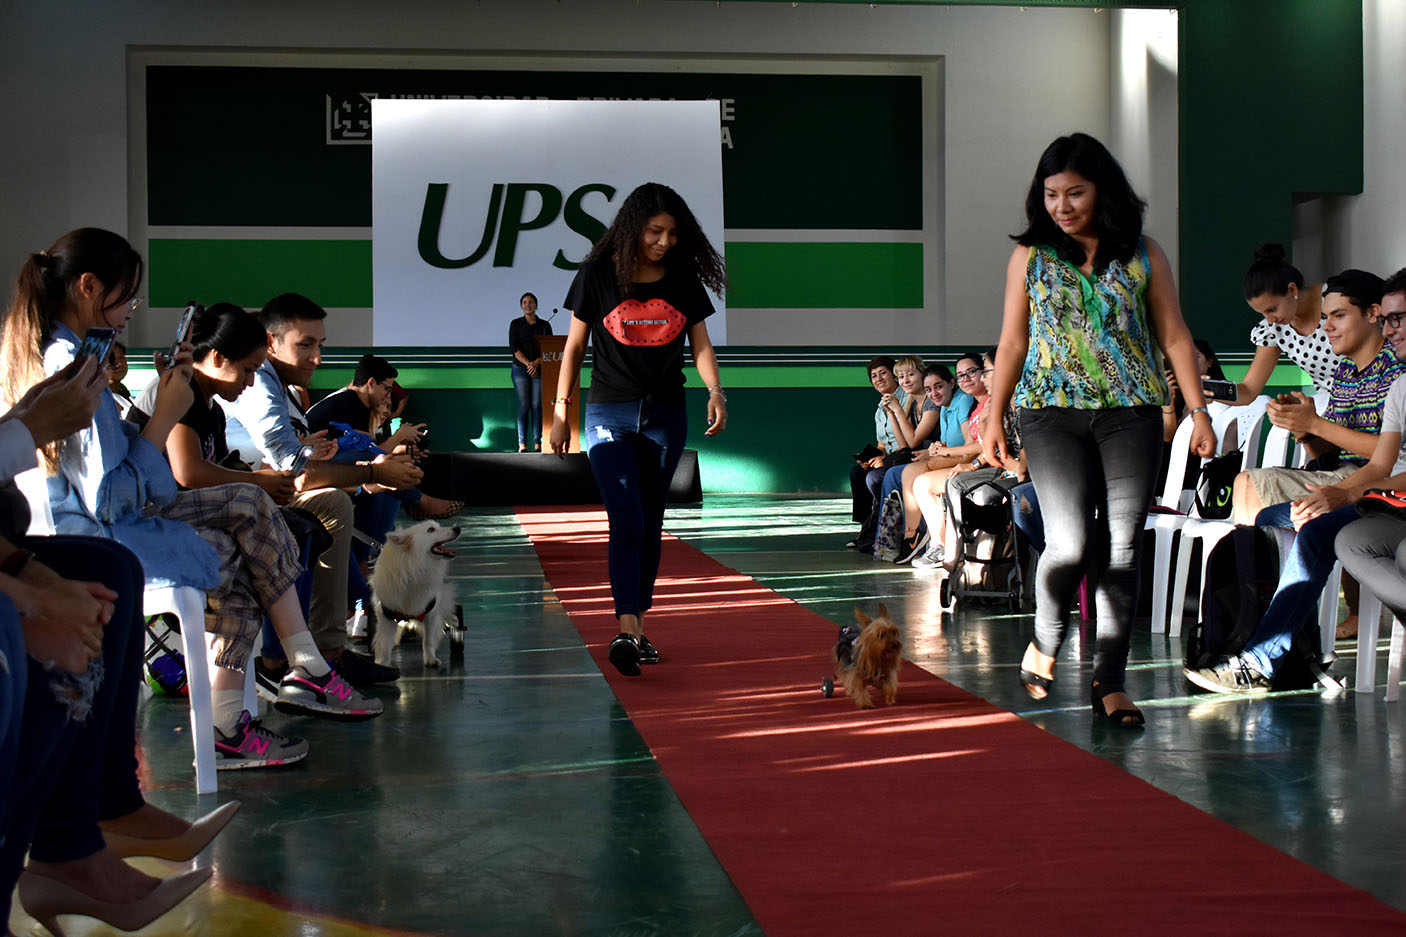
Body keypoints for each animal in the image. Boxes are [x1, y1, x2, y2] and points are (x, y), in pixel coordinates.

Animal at [373, 517, 461, 664]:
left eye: (438, 526)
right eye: (431, 530)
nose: (457, 528)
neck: (414, 567)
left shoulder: (430, 612)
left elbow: (428, 640)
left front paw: (430, 659)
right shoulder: (387, 615)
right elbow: (384, 647)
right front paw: (382, 664)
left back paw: (453, 619)